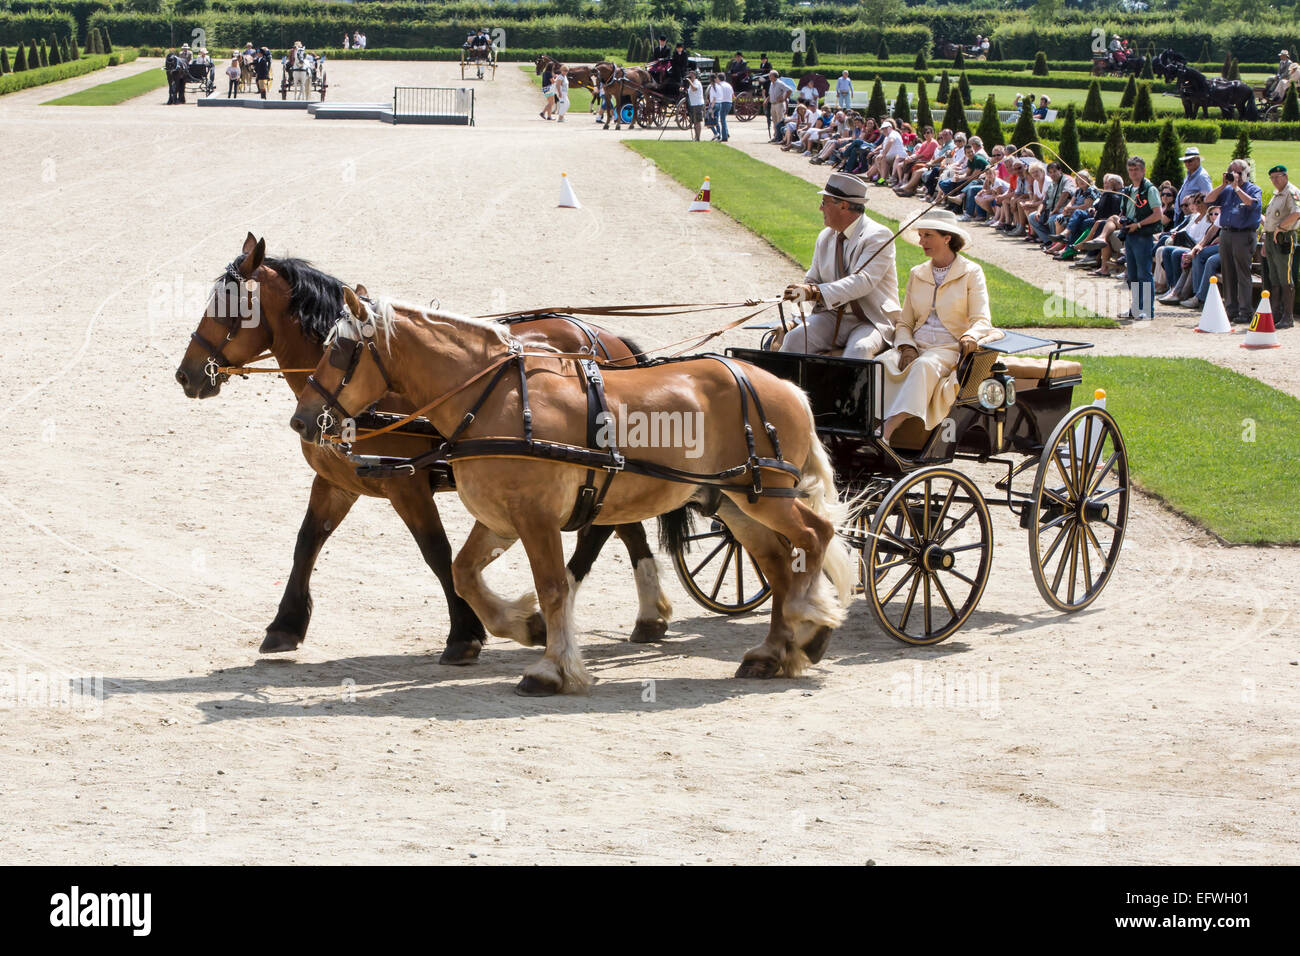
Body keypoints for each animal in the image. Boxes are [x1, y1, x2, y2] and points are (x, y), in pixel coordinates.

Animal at [175, 234, 673, 665]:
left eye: (229, 305)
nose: (186, 373)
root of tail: (606, 339)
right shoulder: (337, 482)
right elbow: (306, 542)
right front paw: (285, 625)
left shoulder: (407, 485)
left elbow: (437, 552)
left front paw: (465, 634)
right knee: (625, 526)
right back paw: (647, 616)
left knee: (602, 531)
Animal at [289, 289, 854, 696]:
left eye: (340, 350)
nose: (301, 420)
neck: (494, 398)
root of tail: (788, 387)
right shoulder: (498, 519)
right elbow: (464, 573)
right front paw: (521, 624)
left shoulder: (535, 519)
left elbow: (554, 585)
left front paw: (553, 667)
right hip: (737, 504)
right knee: (780, 563)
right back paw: (773, 652)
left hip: (765, 496)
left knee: (815, 536)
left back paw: (809, 620)